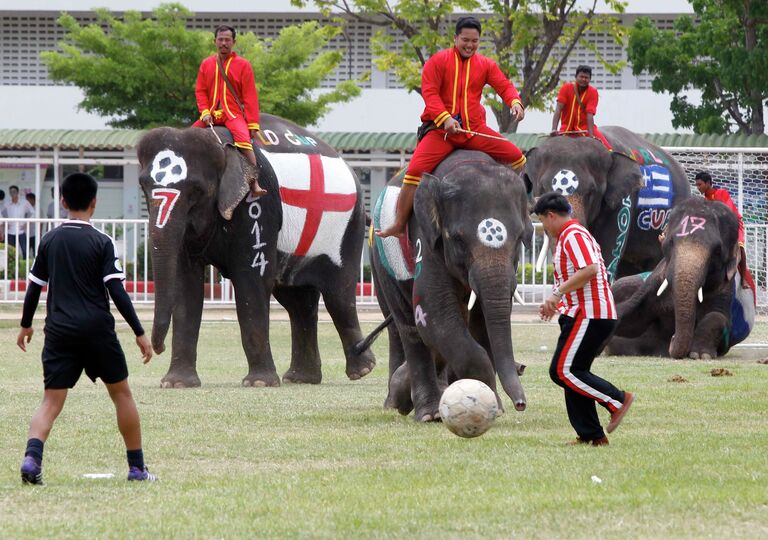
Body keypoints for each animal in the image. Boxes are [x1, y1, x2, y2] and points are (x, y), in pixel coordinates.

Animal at [138, 113, 378, 388]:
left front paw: (259, 383)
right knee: (298, 301)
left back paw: (362, 370)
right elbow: (185, 284)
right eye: (143, 186)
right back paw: (301, 379)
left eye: (196, 191)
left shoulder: (258, 205)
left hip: (346, 228)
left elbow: (251, 278)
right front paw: (177, 384)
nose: (154, 350)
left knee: (338, 295)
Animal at [372, 151, 536, 422]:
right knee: (409, 329)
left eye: (521, 237)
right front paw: (481, 395)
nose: (521, 404)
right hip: (382, 262)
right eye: (458, 239)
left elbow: (482, 321)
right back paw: (426, 412)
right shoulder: (425, 237)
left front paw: (494, 404)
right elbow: (433, 311)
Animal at [608, 198, 756, 358]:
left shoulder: (725, 288)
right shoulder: (654, 280)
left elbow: (718, 317)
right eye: (671, 242)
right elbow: (631, 313)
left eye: (717, 251)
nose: (672, 339)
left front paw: (699, 355)